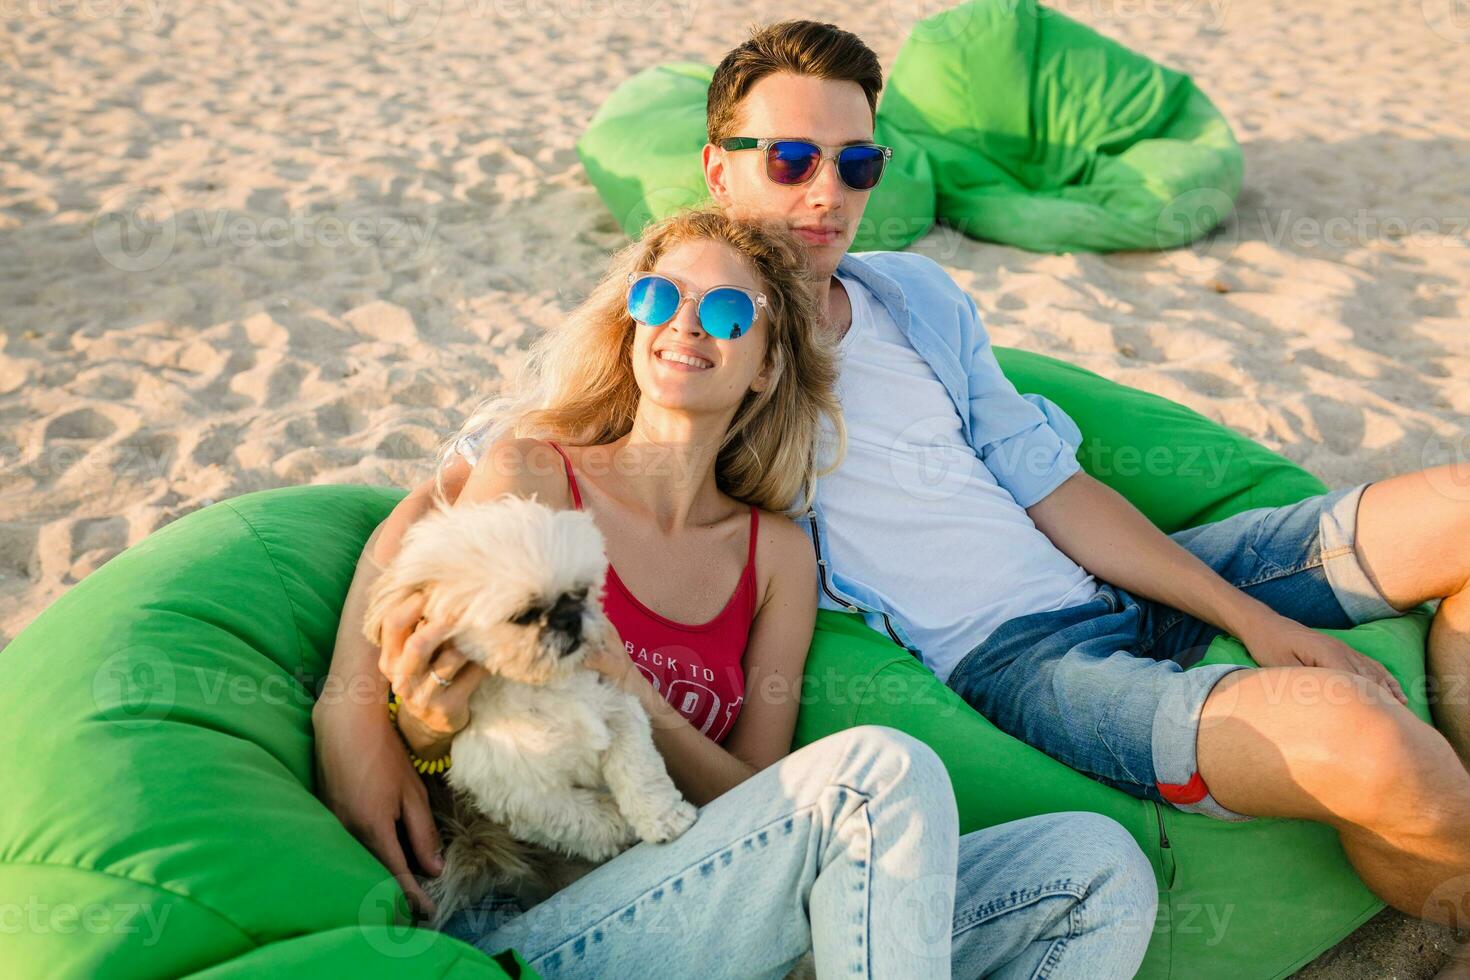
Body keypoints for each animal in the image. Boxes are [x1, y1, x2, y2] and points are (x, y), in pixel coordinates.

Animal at [360, 493, 693, 934]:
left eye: (581, 592)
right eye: (522, 616)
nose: (570, 619)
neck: (540, 685)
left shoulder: (617, 711)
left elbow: (639, 772)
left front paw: (664, 818)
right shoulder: (514, 787)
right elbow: (573, 815)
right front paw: (616, 824)